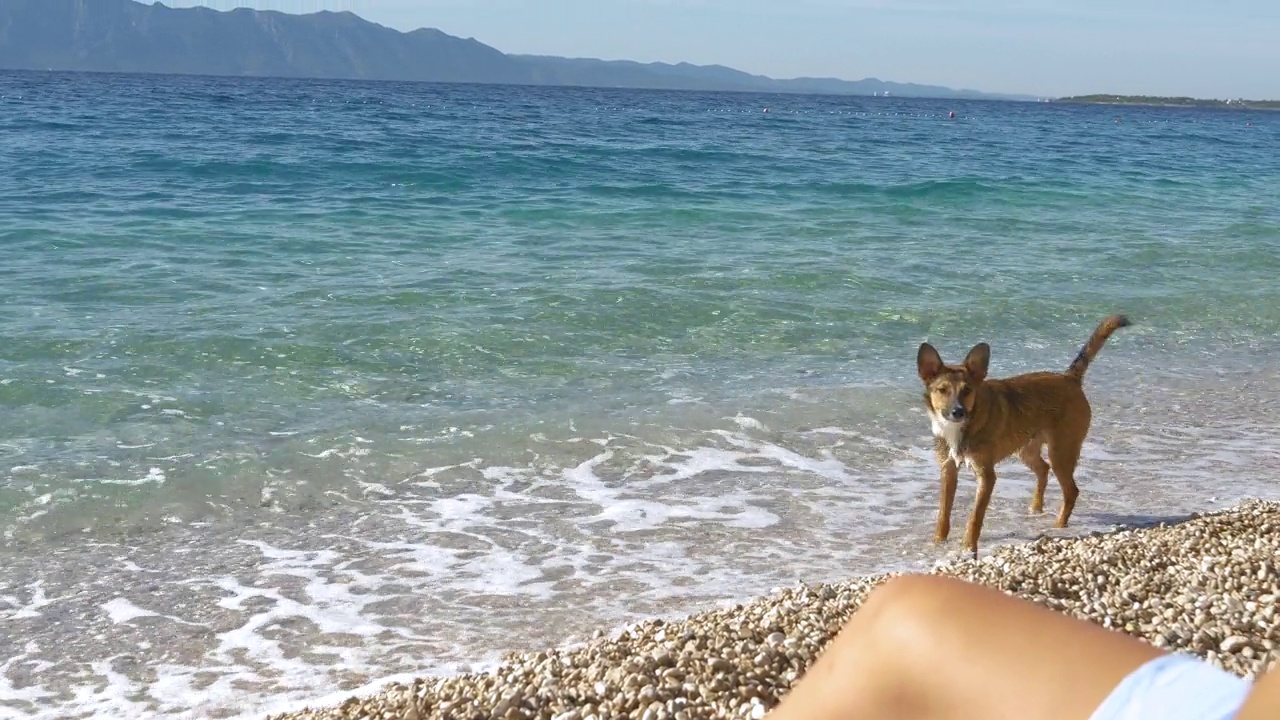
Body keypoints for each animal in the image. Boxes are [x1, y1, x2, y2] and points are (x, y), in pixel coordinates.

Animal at [921, 311, 1131, 550]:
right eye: (942, 390)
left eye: (967, 391)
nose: (958, 412)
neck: (961, 427)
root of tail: (1069, 378)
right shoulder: (948, 470)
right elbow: (943, 512)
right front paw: (938, 541)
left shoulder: (986, 476)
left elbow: (975, 517)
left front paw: (968, 546)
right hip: (1027, 450)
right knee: (1043, 469)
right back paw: (1036, 508)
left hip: (1061, 453)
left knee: (1071, 490)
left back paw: (1058, 525)